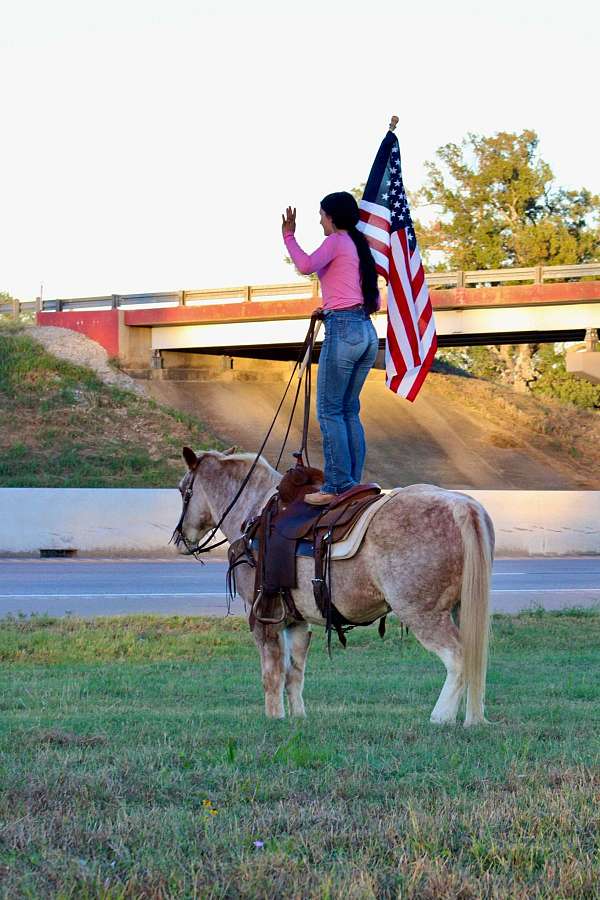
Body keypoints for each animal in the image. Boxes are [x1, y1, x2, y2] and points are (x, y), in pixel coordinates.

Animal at [176, 446, 494, 728]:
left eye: (182, 490)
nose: (180, 539)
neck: (253, 514)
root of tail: (462, 506)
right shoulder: (297, 620)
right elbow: (294, 673)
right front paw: (298, 717)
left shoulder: (264, 617)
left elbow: (272, 673)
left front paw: (275, 717)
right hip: (462, 607)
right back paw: (473, 718)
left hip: (423, 613)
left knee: (458, 657)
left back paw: (441, 717)